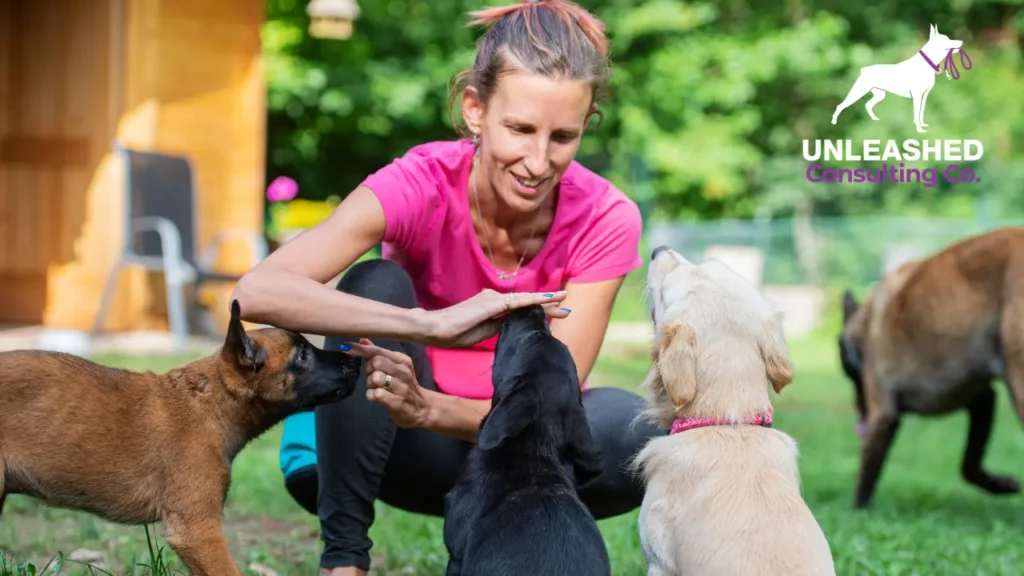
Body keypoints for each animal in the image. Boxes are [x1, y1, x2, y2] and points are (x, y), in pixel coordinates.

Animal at [839, 227, 1024, 506]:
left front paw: (856, 511)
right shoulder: (982, 399)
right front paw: (1000, 484)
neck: (864, 323)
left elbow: (865, 476)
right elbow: (968, 465)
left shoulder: (882, 415)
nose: (859, 416)